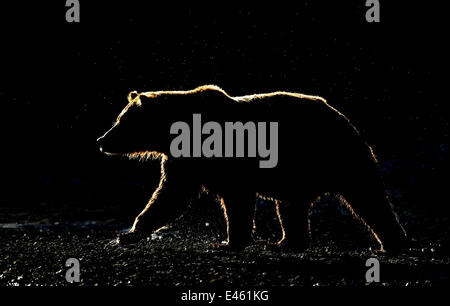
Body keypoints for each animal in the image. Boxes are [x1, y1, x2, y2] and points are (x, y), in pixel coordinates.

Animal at [97, 85, 408, 252]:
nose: (101, 140)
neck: (176, 133)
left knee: (369, 198)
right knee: (291, 208)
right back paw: (286, 242)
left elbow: (235, 201)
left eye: (120, 121)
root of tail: (344, 117)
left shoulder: (227, 160)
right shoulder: (183, 163)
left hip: (339, 156)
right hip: (296, 175)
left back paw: (391, 244)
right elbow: (168, 198)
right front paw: (128, 234)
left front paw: (227, 243)